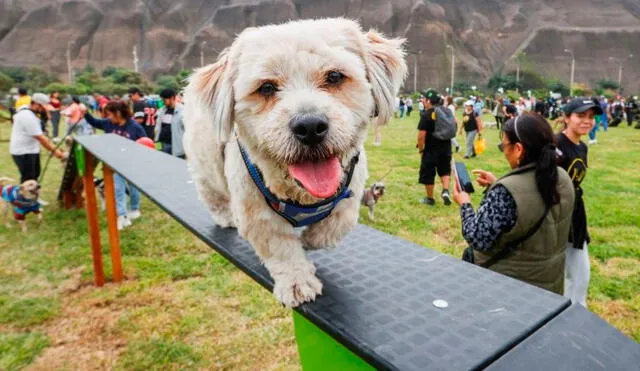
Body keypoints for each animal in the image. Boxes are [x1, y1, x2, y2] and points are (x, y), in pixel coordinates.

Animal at [182, 18, 408, 308]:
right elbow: (281, 249)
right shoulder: (257, 214)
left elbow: (339, 221)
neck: (302, 196)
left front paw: (311, 240)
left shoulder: (352, 187)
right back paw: (225, 217)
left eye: (335, 77)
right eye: (266, 87)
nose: (310, 126)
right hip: (205, 167)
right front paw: (297, 282)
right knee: (212, 196)